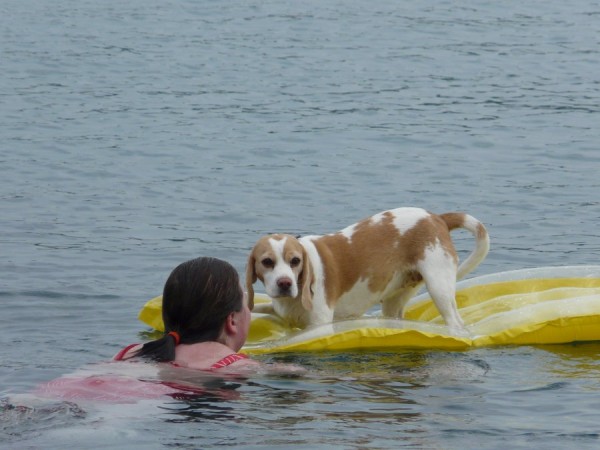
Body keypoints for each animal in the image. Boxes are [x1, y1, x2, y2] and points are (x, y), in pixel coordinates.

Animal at [246, 208, 490, 334]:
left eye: (295, 261)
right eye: (267, 262)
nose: (285, 283)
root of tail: (436, 217)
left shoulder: (320, 324)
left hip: (439, 289)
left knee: (456, 323)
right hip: (394, 303)